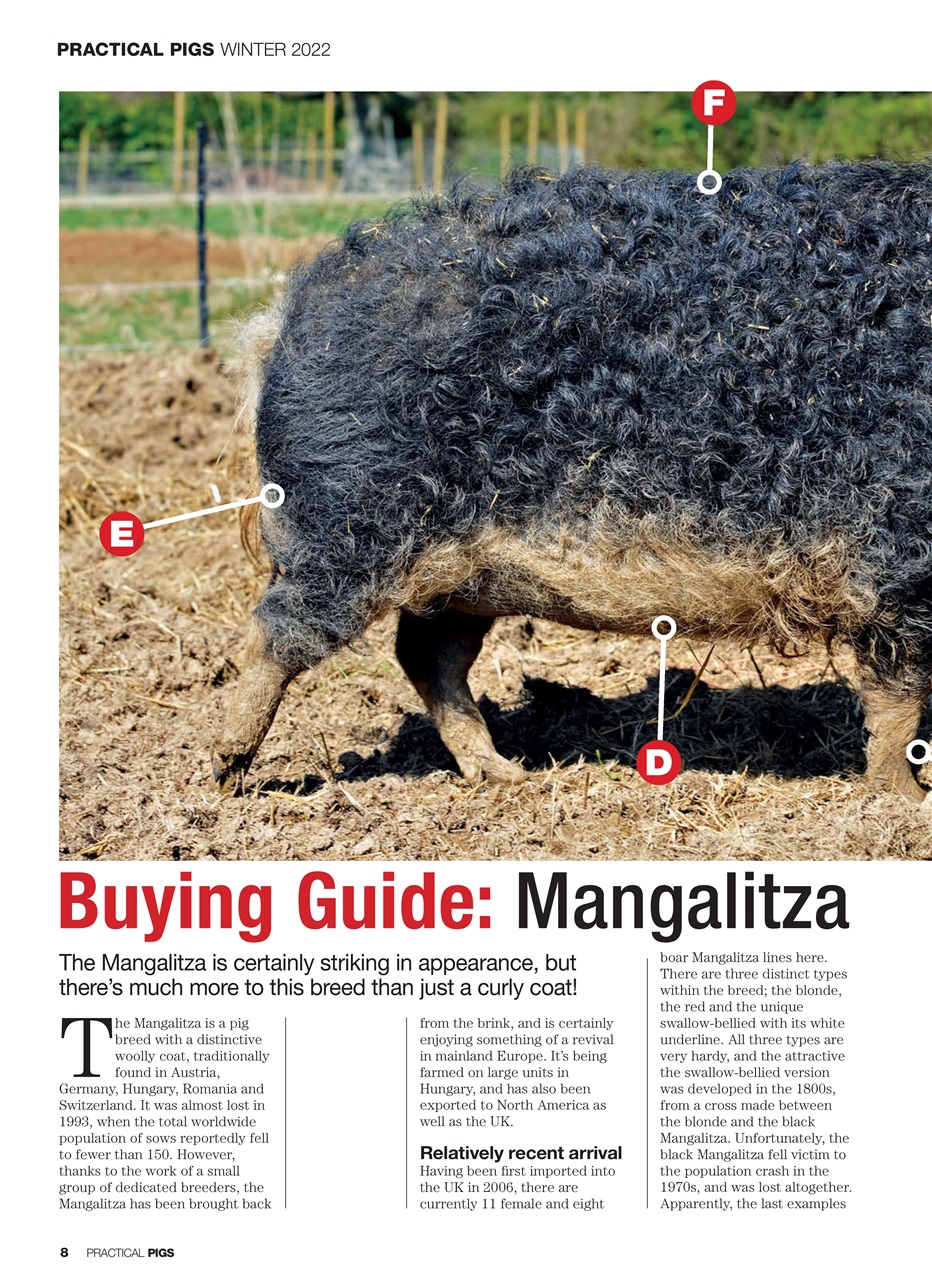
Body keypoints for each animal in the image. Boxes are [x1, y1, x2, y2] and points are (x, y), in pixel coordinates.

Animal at [212, 160, 932, 800]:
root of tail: (281, 321)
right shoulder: (898, 552)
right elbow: (899, 697)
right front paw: (906, 800)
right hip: (349, 517)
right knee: (280, 630)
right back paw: (224, 772)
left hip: (458, 573)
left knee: (425, 653)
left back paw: (504, 775)